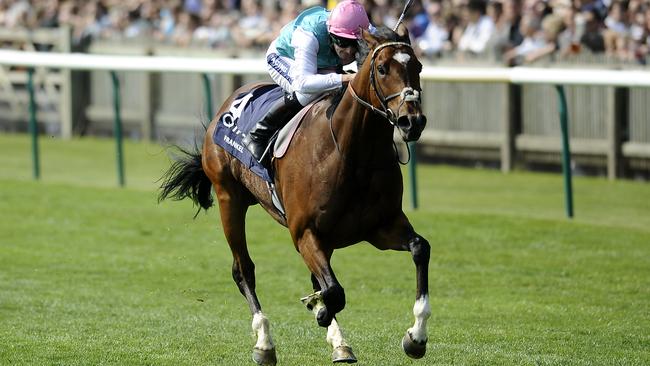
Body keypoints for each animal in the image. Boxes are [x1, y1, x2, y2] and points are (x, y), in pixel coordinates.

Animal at [159, 24, 428, 364]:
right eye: (381, 68)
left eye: (418, 67)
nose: (412, 121)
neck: (351, 153)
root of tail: (228, 103)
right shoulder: (304, 232)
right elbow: (334, 291)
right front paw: (320, 311)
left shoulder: (380, 227)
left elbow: (419, 248)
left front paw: (416, 337)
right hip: (228, 198)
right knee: (243, 270)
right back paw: (265, 342)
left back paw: (339, 342)